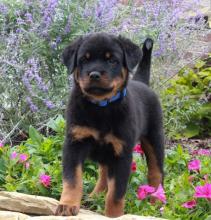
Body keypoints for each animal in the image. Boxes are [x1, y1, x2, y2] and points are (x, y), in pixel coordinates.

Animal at [55, 33, 164, 218]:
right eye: (84, 59)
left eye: (112, 60)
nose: (94, 74)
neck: (101, 107)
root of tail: (142, 83)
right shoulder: (74, 144)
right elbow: (72, 180)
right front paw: (67, 205)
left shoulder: (122, 153)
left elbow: (116, 193)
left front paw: (114, 215)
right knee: (104, 173)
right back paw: (94, 196)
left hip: (155, 138)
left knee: (156, 172)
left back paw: (156, 201)